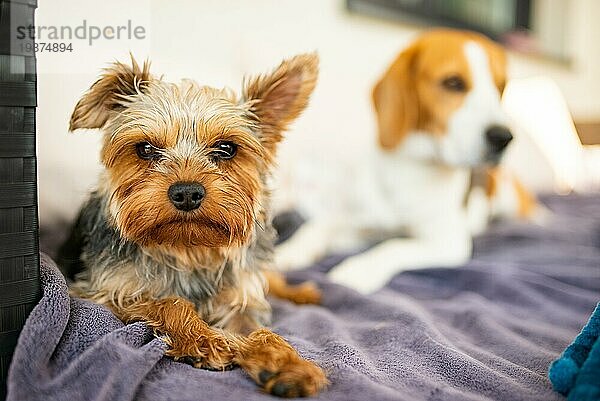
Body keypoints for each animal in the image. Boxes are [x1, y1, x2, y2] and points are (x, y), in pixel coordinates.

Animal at [61, 54, 328, 396]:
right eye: (145, 149)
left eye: (226, 149)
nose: (187, 192)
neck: (188, 247)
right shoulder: (104, 293)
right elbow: (169, 302)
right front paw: (203, 339)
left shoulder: (240, 301)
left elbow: (261, 332)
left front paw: (287, 364)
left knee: (272, 277)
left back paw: (303, 293)